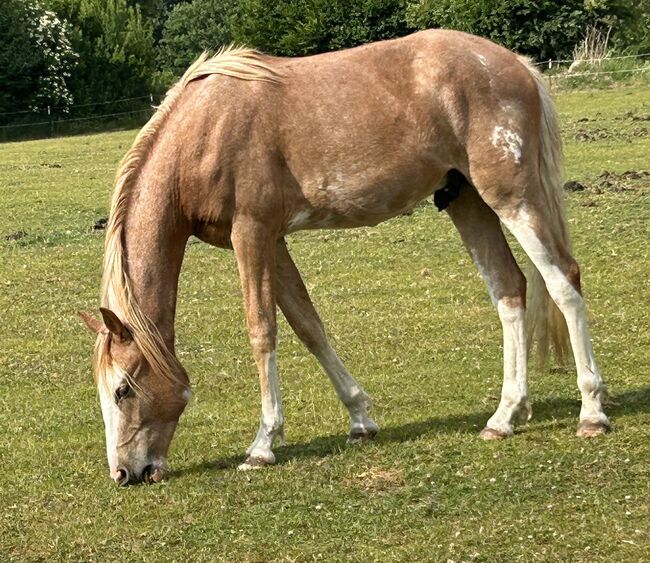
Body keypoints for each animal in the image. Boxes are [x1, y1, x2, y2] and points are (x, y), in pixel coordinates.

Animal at [79, 30, 608, 486]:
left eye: (123, 389)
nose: (124, 474)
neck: (205, 128)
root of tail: (513, 63)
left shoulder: (252, 233)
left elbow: (262, 331)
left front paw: (263, 445)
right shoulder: (272, 242)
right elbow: (309, 327)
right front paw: (360, 419)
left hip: (511, 196)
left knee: (563, 280)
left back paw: (592, 412)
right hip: (468, 201)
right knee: (509, 290)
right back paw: (504, 417)